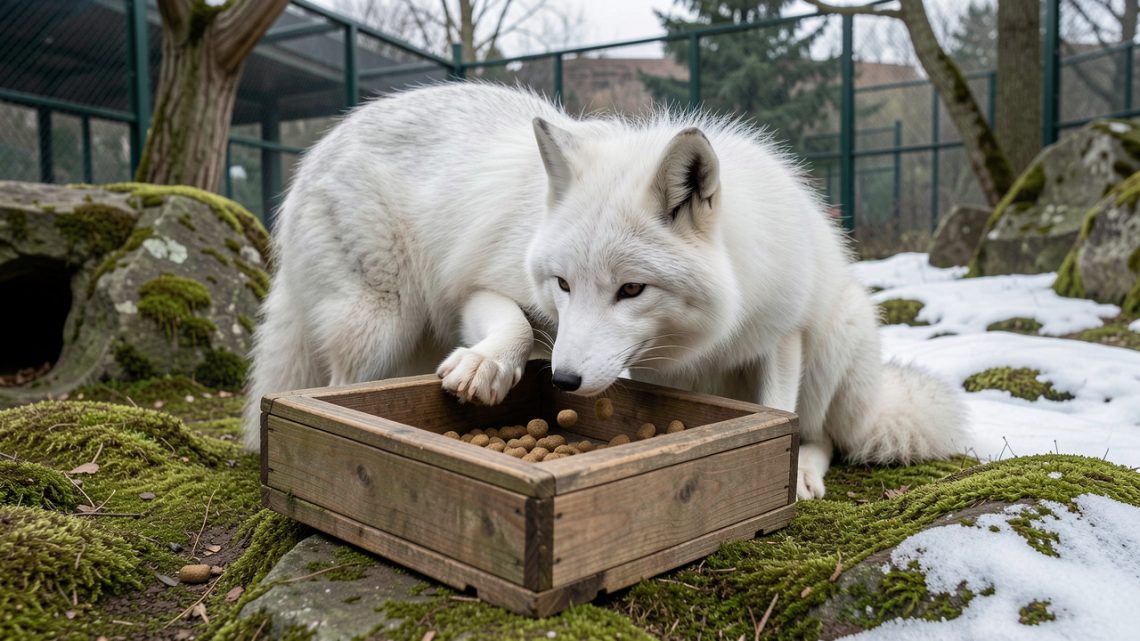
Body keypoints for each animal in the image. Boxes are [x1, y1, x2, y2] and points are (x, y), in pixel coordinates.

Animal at [241, 83, 966, 499]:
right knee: (337, 383)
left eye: (632, 289)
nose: (561, 379)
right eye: (564, 284)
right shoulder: (483, 284)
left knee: (828, 435)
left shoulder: (780, 336)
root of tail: (319, 151)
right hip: (379, 327)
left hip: (837, 337)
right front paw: (487, 367)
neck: (696, 341)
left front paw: (783, 473)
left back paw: (810, 471)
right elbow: (509, 321)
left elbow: (777, 415)